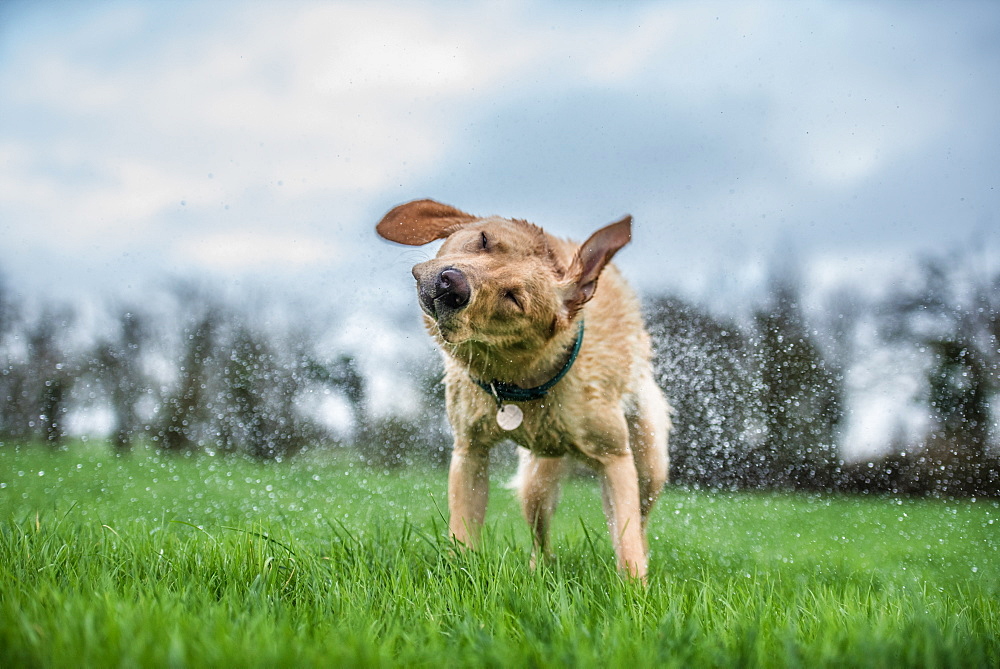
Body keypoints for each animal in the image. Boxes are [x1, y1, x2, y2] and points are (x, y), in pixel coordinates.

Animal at [376, 200, 672, 580]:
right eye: (484, 239)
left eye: (514, 298)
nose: (451, 284)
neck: (521, 382)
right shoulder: (470, 452)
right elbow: (462, 532)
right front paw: (460, 574)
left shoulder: (615, 458)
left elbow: (628, 538)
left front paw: (635, 589)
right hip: (536, 483)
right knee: (540, 536)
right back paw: (538, 571)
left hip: (649, 463)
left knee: (640, 518)